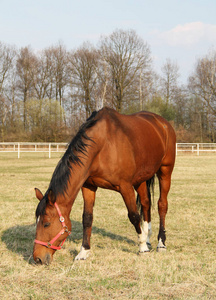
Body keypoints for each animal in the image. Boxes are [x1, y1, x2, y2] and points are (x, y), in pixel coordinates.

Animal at [33, 107, 176, 264]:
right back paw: (148, 237)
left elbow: (133, 216)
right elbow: (87, 218)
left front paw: (142, 248)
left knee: (162, 205)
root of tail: (163, 123)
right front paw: (83, 252)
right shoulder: (88, 187)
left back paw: (160, 243)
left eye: (46, 223)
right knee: (146, 204)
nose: (37, 258)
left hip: (165, 171)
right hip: (141, 179)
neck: (103, 144)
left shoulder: (125, 187)